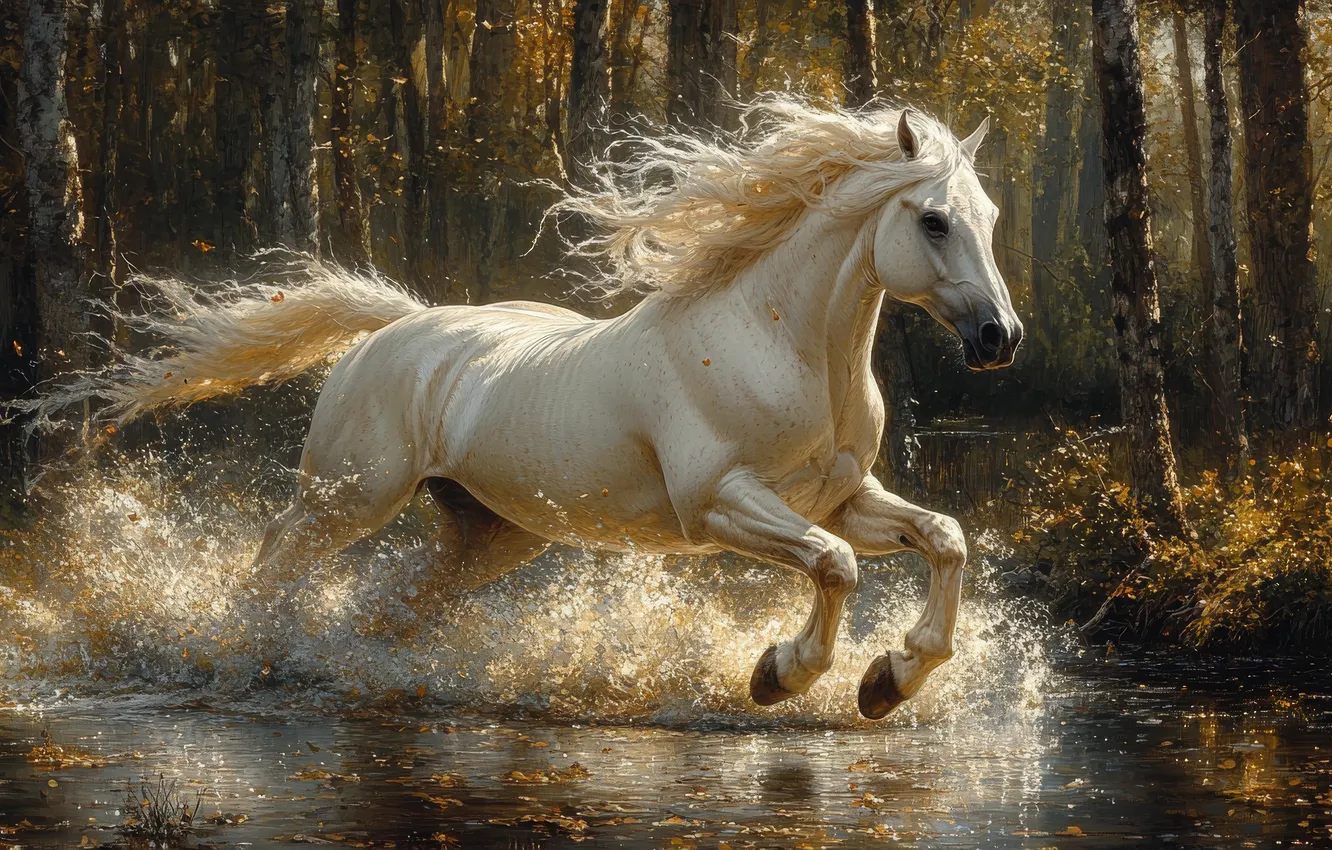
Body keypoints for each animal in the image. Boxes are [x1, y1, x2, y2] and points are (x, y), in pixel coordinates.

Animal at [30, 98, 1021, 719]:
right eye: (933, 219)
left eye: (992, 216)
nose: (999, 337)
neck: (777, 343)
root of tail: (396, 327)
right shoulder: (722, 505)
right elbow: (834, 567)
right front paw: (782, 676)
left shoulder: (841, 498)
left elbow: (943, 539)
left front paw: (890, 680)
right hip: (347, 497)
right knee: (272, 564)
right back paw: (247, 654)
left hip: (487, 532)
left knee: (394, 604)